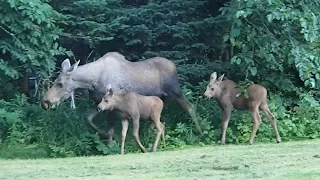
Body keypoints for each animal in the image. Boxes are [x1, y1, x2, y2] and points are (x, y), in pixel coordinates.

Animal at [40, 52, 202, 143]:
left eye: (60, 84)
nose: (45, 102)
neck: (92, 82)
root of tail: (174, 66)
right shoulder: (99, 102)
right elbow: (89, 118)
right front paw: (107, 137)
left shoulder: (111, 103)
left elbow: (110, 128)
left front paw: (111, 142)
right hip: (162, 96)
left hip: (175, 90)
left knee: (190, 107)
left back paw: (200, 132)